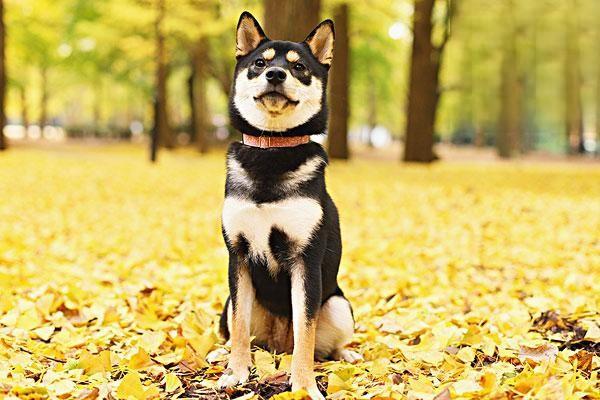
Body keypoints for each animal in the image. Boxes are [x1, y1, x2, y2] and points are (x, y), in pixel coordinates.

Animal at [220, 10, 360, 398]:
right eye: (259, 63)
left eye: (299, 68)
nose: (275, 74)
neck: (272, 148)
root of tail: (276, 345)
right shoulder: (238, 256)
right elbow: (239, 326)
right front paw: (237, 372)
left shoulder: (304, 260)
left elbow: (306, 333)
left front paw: (304, 385)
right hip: (230, 302)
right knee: (240, 331)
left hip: (339, 305)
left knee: (321, 344)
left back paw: (346, 354)